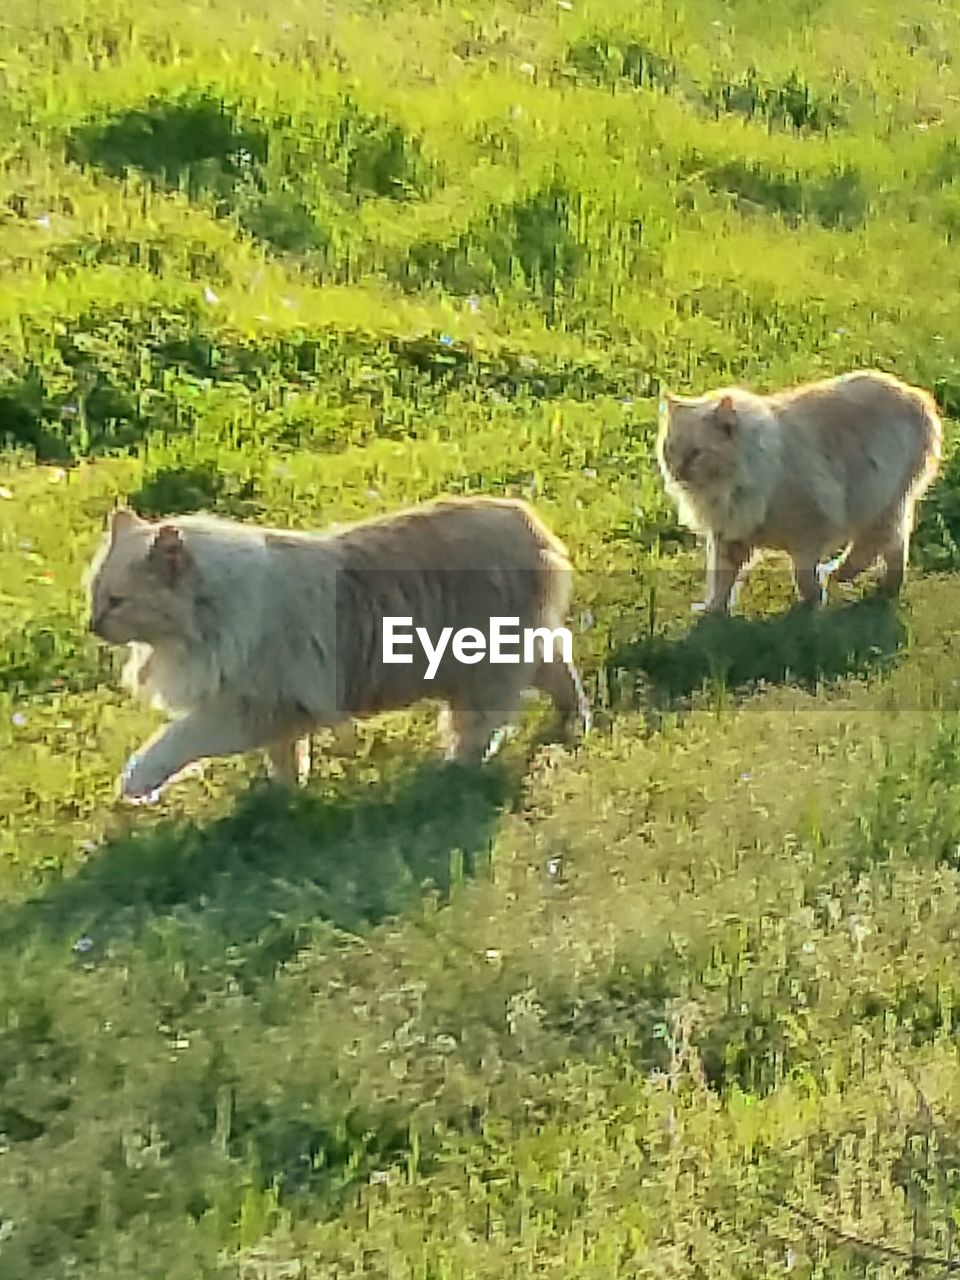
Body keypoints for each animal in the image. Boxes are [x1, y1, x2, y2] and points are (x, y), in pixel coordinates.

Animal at [86, 491, 591, 798]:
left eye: (116, 601)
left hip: (481, 669)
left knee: (479, 731)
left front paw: (136, 783)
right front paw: (284, 796)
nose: (91, 624)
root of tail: (524, 517)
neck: (212, 612)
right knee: (561, 673)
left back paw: (447, 775)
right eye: (94, 595)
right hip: (521, 651)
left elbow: (174, 740)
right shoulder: (277, 712)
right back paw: (574, 726)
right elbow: (284, 758)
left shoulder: (245, 706)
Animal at [660, 368, 942, 611]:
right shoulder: (729, 537)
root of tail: (916, 395)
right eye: (671, 449)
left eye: (696, 453)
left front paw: (811, 604)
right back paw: (885, 588)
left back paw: (842, 575)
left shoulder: (808, 535)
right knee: (894, 546)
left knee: (875, 544)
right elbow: (720, 582)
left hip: (880, 501)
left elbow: (803, 574)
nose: (678, 471)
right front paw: (711, 611)